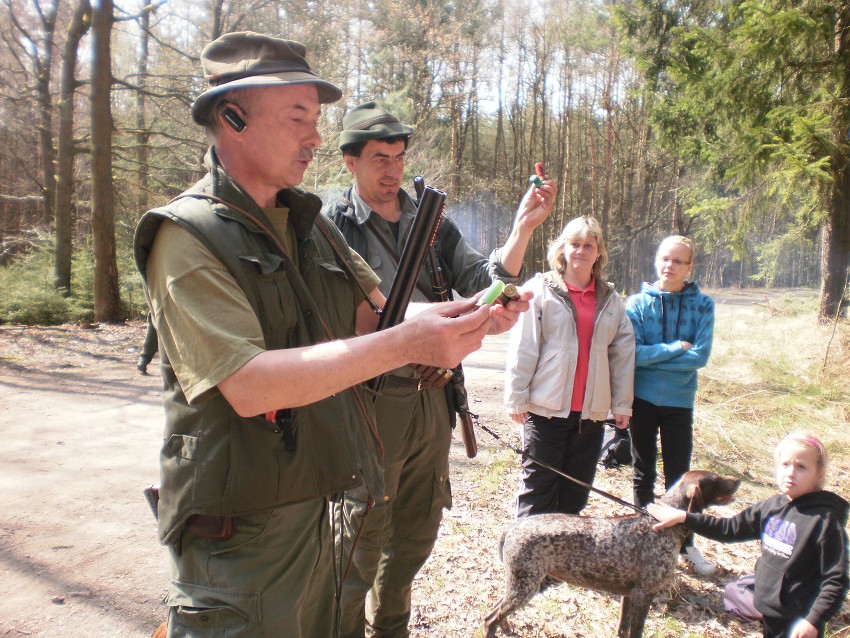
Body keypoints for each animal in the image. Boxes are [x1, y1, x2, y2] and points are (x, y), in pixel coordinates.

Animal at [484, 470, 736, 638]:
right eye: (715, 480)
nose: (738, 480)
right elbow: (636, 631)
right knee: (490, 618)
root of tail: (514, 527)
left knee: (498, 612)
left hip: (519, 585)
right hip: (525, 585)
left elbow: (623, 629)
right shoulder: (644, 595)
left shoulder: (629, 595)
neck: (662, 524)